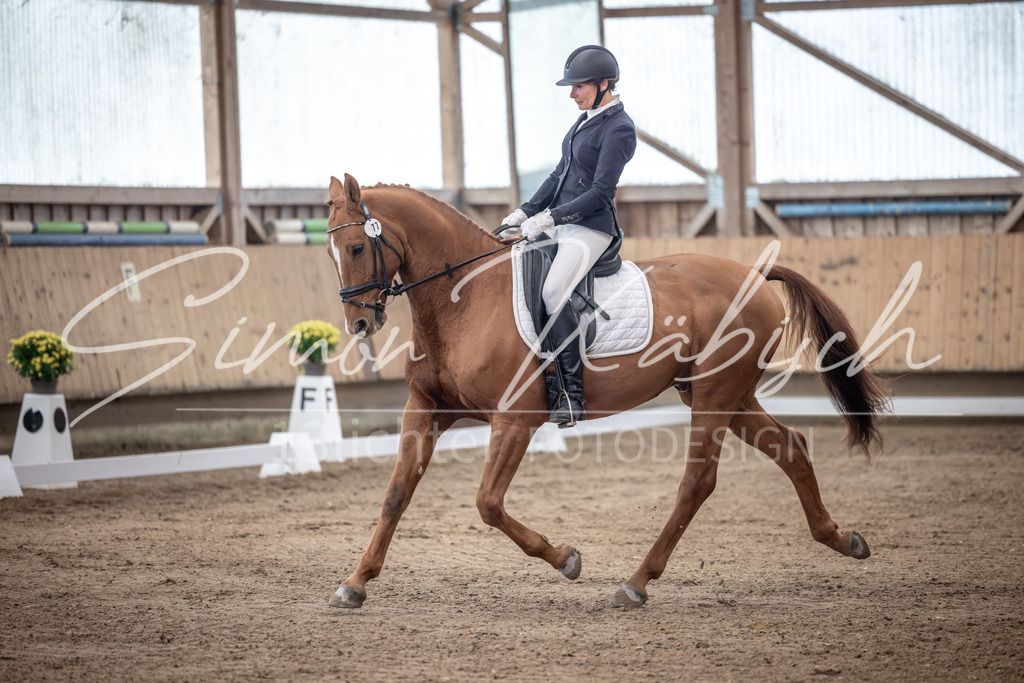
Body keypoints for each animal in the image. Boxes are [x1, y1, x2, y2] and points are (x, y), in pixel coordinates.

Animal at [323, 173, 890, 609]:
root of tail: (752, 272)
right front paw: (354, 583)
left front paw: (566, 559)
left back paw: (636, 583)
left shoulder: (515, 419)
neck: (464, 298)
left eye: (357, 247)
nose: (358, 324)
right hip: (725, 395)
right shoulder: (426, 410)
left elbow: (487, 503)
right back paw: (843, 539)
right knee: (789, 448)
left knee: (697, 483)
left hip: (714, 396)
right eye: (332, 254)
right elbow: (396, 494)